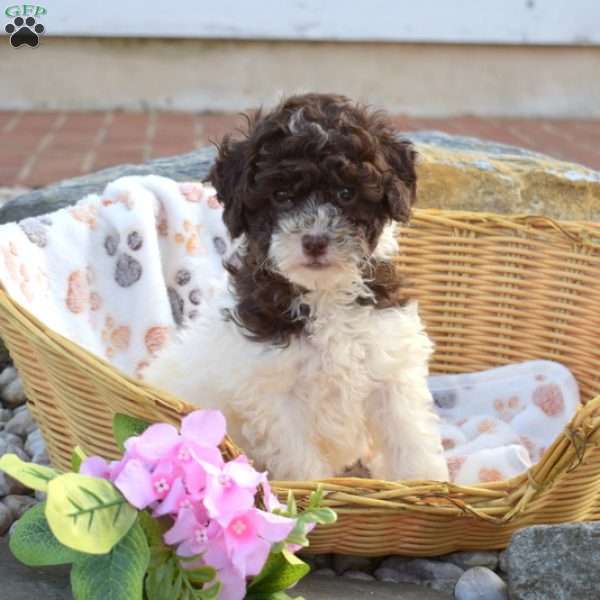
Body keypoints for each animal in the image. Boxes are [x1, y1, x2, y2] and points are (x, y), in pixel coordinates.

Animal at [143, 91, 448, 480]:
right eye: (282, 195)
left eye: (346, 192)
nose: (315, 242)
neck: (323, 293)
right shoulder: (275, 397)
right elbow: (304, 466)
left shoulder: (391, 370)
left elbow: (411, 441)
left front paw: (432, 485)